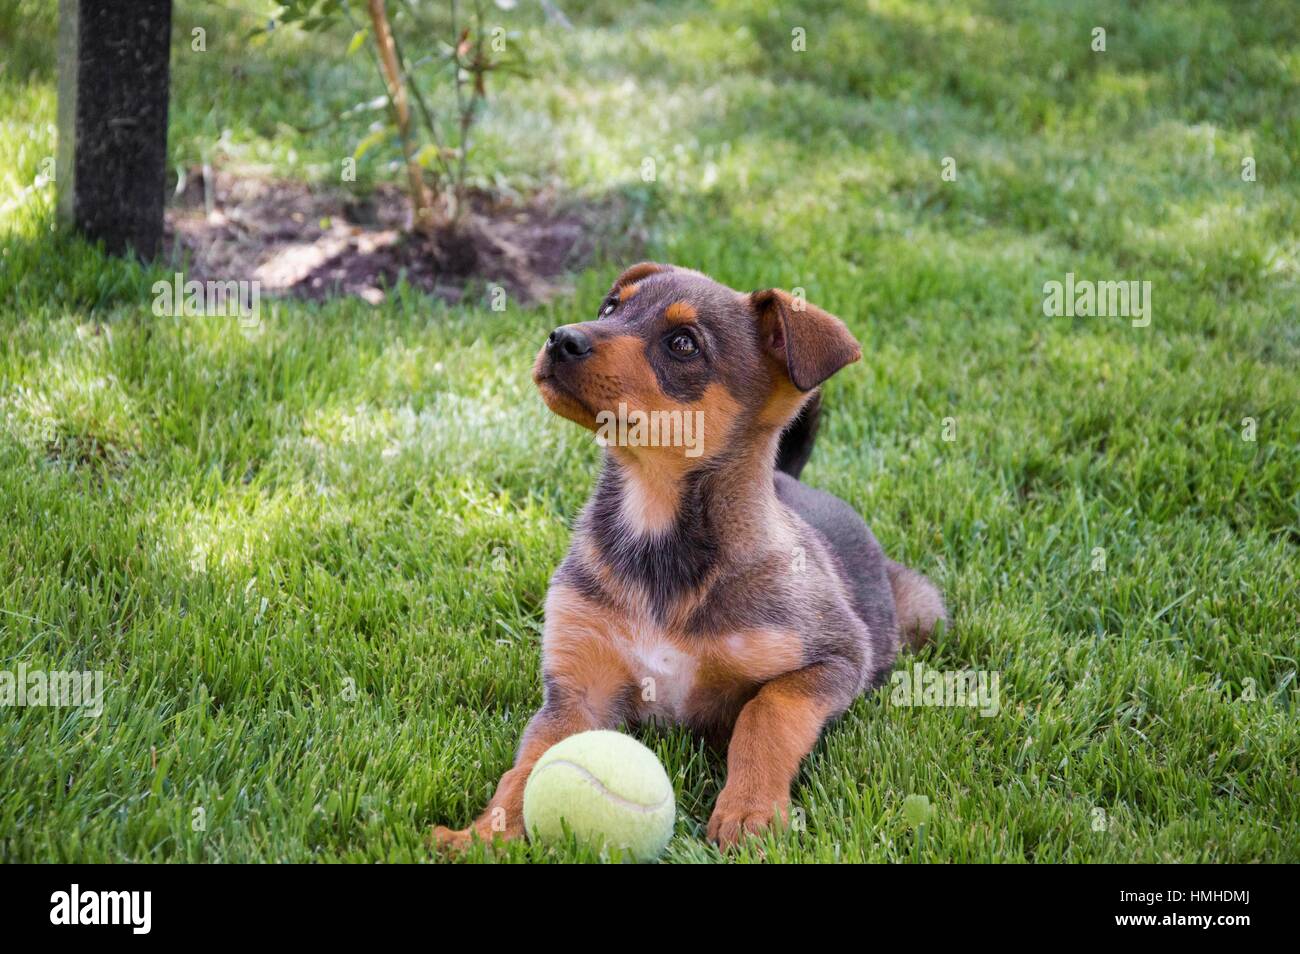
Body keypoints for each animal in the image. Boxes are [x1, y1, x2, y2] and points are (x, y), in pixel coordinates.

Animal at [436, 261, 946, 852]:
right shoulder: (577, 691)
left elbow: (767, 711)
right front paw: (481, 834)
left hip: (925, 615)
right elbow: (528, 766)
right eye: (611, 307)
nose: (561, 339)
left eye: (683, 344)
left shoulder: (837, 656)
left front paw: (749, 811)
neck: (654, 523)